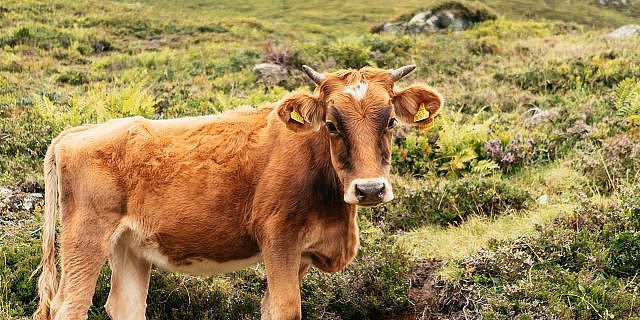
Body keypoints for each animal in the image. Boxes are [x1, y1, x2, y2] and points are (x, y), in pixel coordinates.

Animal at [32, 63, 442, 318]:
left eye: (391, 121)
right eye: (331, 124)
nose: (370, 189)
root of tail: (76, 132)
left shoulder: (302, 253)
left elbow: (270, 307)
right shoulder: (278, 239)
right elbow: (286, 308)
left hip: (129, 245)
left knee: (124, 305)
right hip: (86, 238)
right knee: (70, 306)